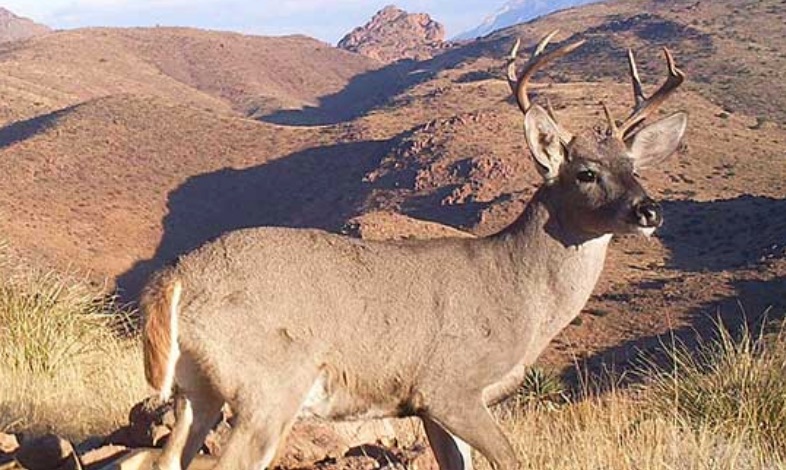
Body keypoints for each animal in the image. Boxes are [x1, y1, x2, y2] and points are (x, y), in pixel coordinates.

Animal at [141, 31, 687, 470]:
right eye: (586, 173)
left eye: (635, 168)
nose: (650, 211)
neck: (517, 291)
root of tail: (176, 277)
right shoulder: (449, 387)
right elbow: (511, 459)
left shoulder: (430, 408)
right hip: (267, 387)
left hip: (196, 392)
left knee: (162, 460)